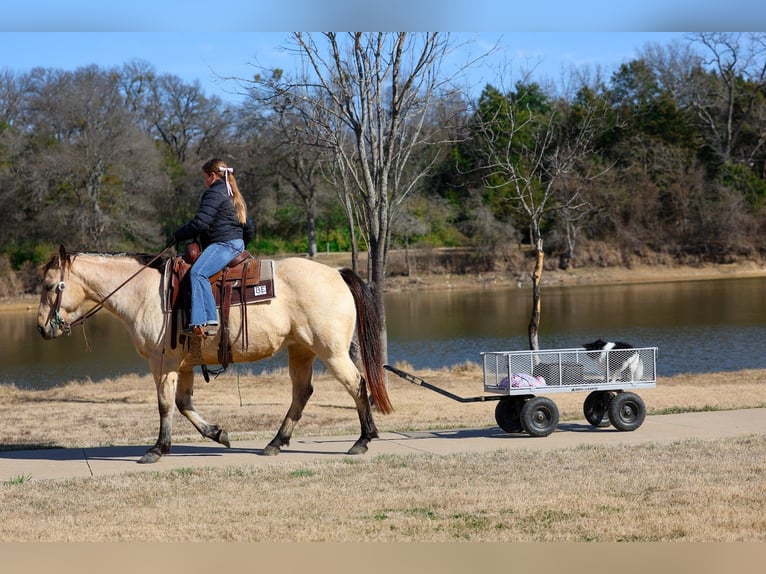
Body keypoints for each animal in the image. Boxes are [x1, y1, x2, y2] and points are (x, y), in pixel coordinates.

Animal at [36, 245, 392, 464]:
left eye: (51, 286)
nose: (41, 328)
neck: (144, 293)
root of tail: (337, 273)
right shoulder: (184, 365)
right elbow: (183, 404)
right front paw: (218, 434)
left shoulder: (162, 362)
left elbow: (165, 405)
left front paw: (157, 449)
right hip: (301, 350)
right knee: (302, 393)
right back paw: (275, 443)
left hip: (331, 351)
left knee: (357, 384)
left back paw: (362, 440)